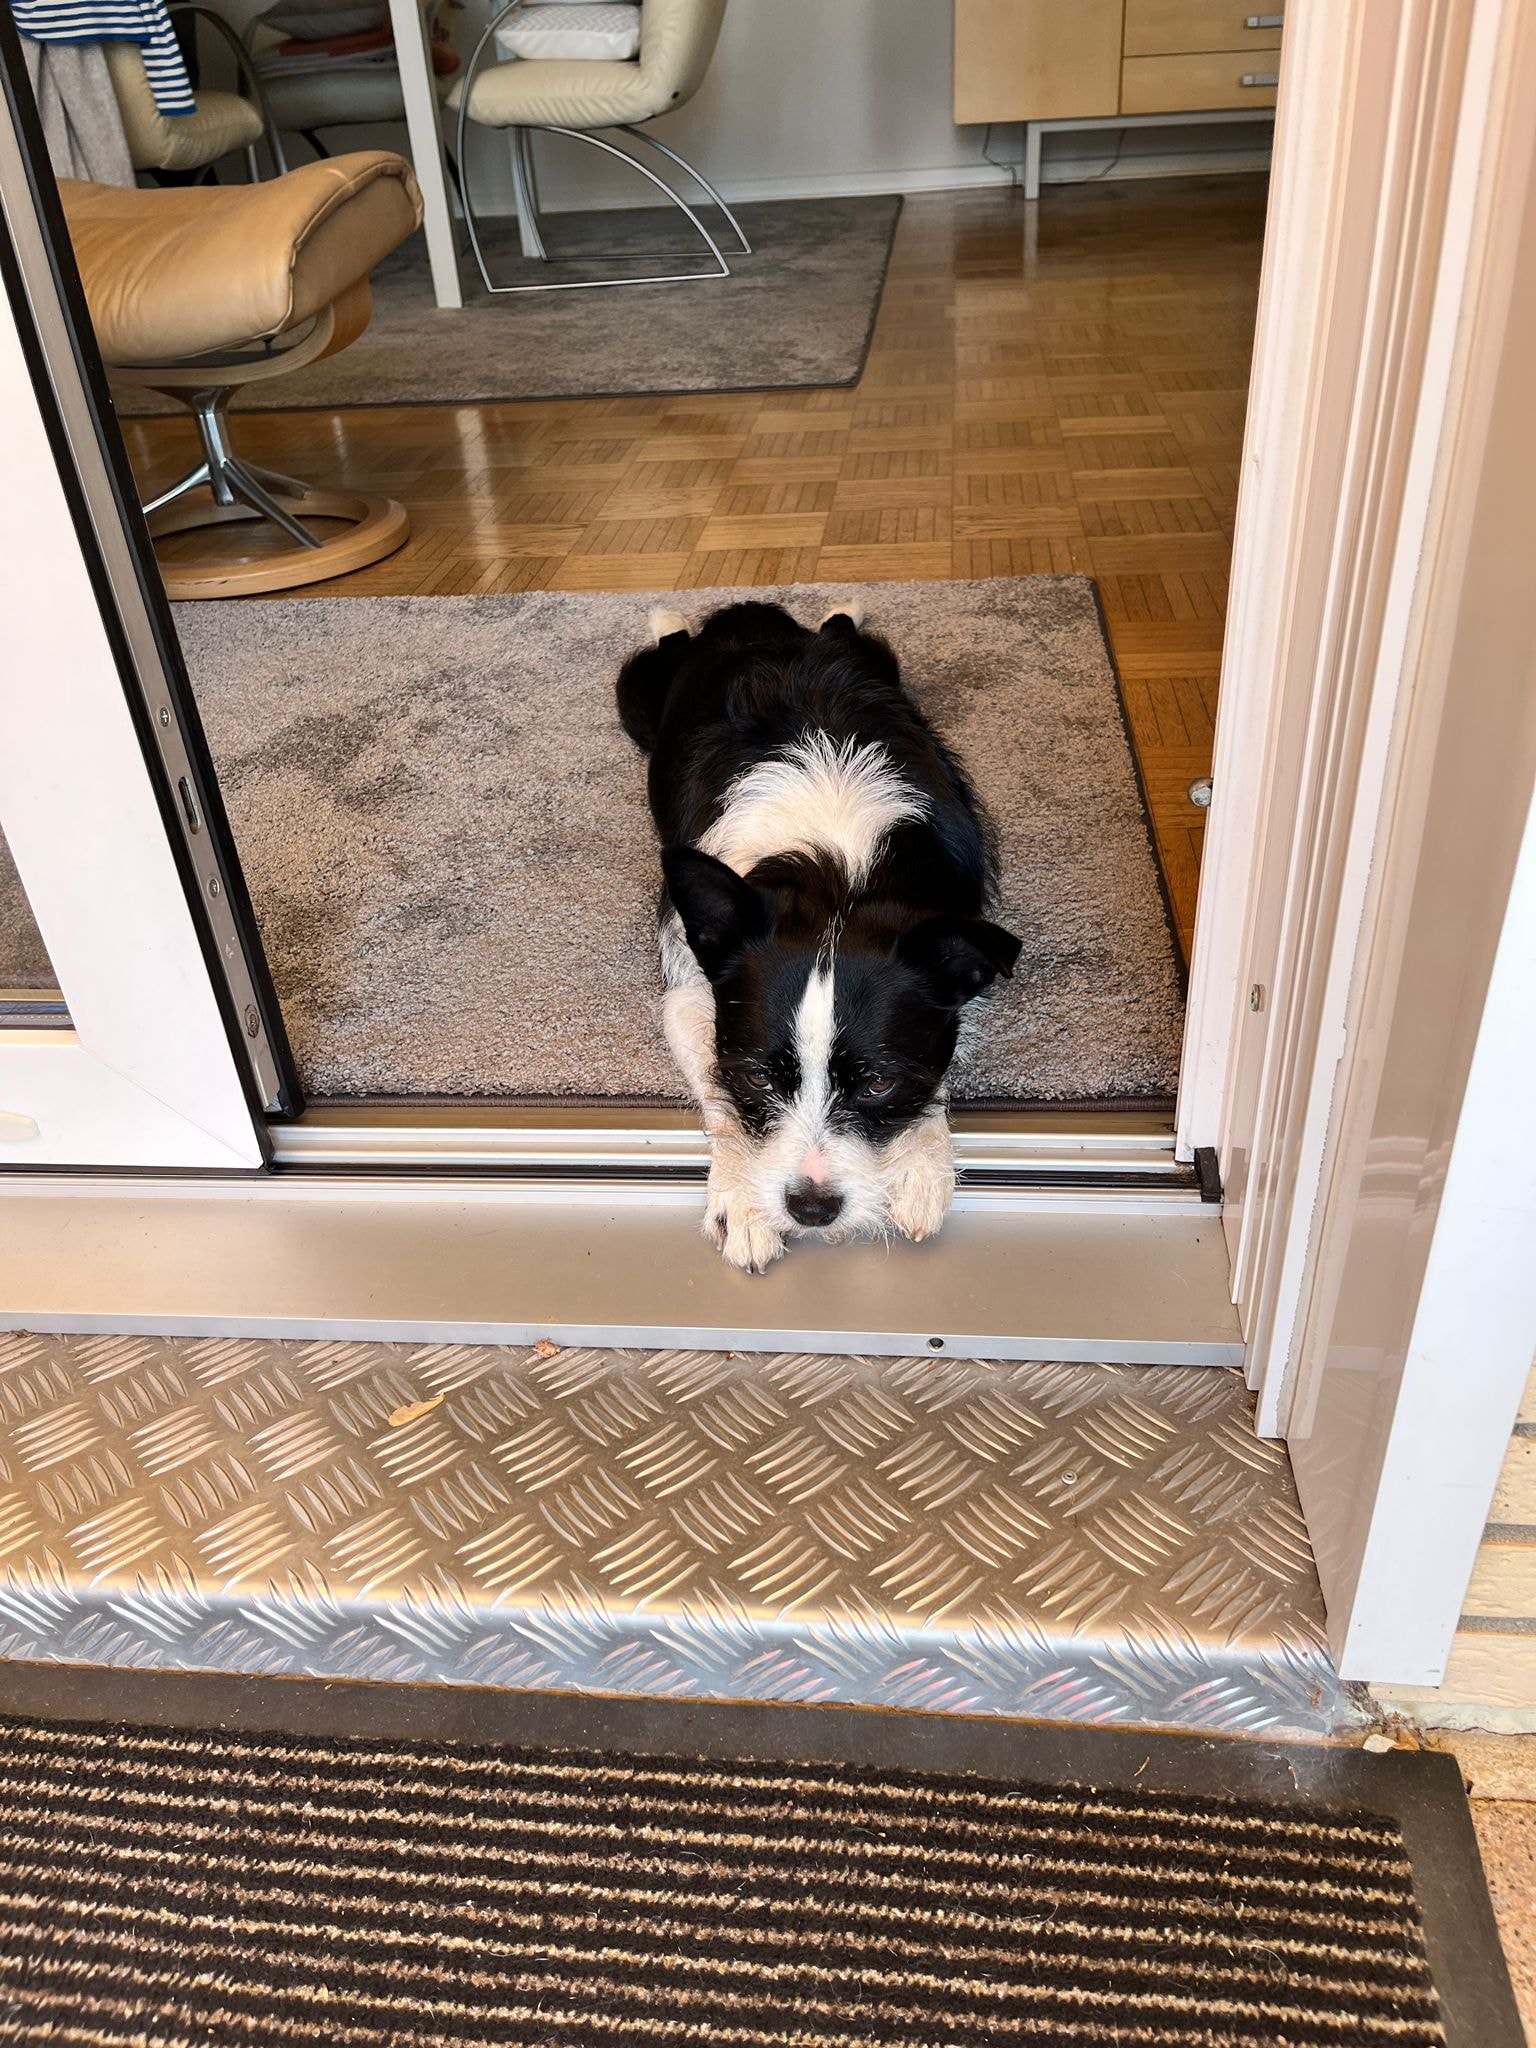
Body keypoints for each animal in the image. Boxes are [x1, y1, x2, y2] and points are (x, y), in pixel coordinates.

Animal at [617, 598, 1020, 1271]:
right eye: (758, 1077)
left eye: (879, 1081)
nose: (812, 1209)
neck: (838, 874)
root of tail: (747, 615)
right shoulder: (689, 991)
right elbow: (721, 1096)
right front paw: (745, 1204)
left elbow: (936, 1063)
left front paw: (922, 1168)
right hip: (635, 697)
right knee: (667, 642)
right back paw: (668, 618)